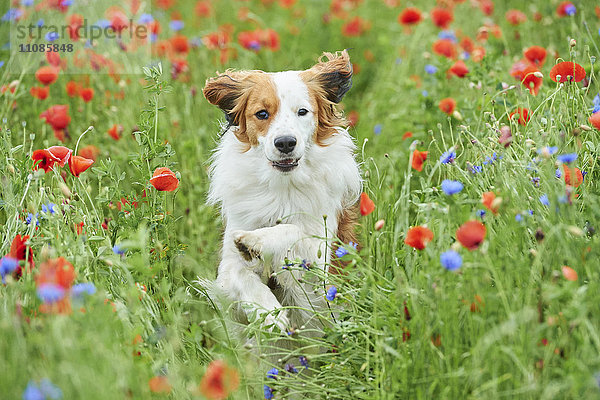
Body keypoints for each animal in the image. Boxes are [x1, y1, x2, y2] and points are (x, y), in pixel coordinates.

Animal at [202, 50, 360, 334]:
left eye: (302, 112)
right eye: (262, 114)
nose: (285, 143)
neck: (282, 187)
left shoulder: (320, 263)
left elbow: (293, 230)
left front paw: (256, 240)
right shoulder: (227, 271)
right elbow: (240, 274)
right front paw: (269, 311)